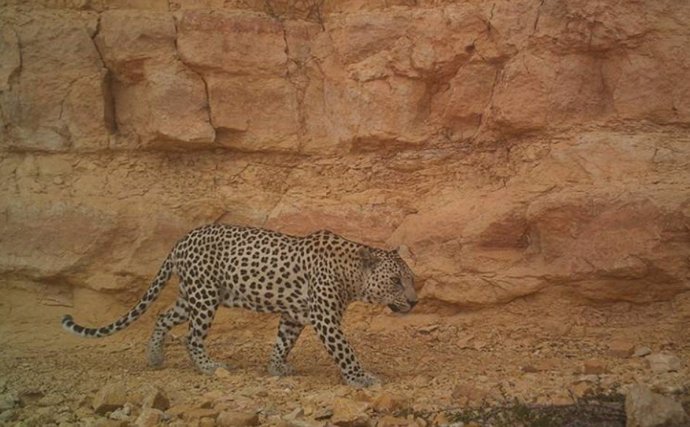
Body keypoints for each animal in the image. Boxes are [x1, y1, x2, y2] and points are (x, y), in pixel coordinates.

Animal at [61, 224, 414, 388]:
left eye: (410, 280)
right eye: (396, 281)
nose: (414, 301)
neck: (350, 273)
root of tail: (180, 241)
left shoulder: (293, 316)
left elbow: (283, 343)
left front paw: (276, 368)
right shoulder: (325, 319)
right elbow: (345, 350)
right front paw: (361, 378)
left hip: (191, 297)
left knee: (162, 316)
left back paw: (155, 357)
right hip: (204, 298)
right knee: (191, 337)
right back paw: (209, 366)